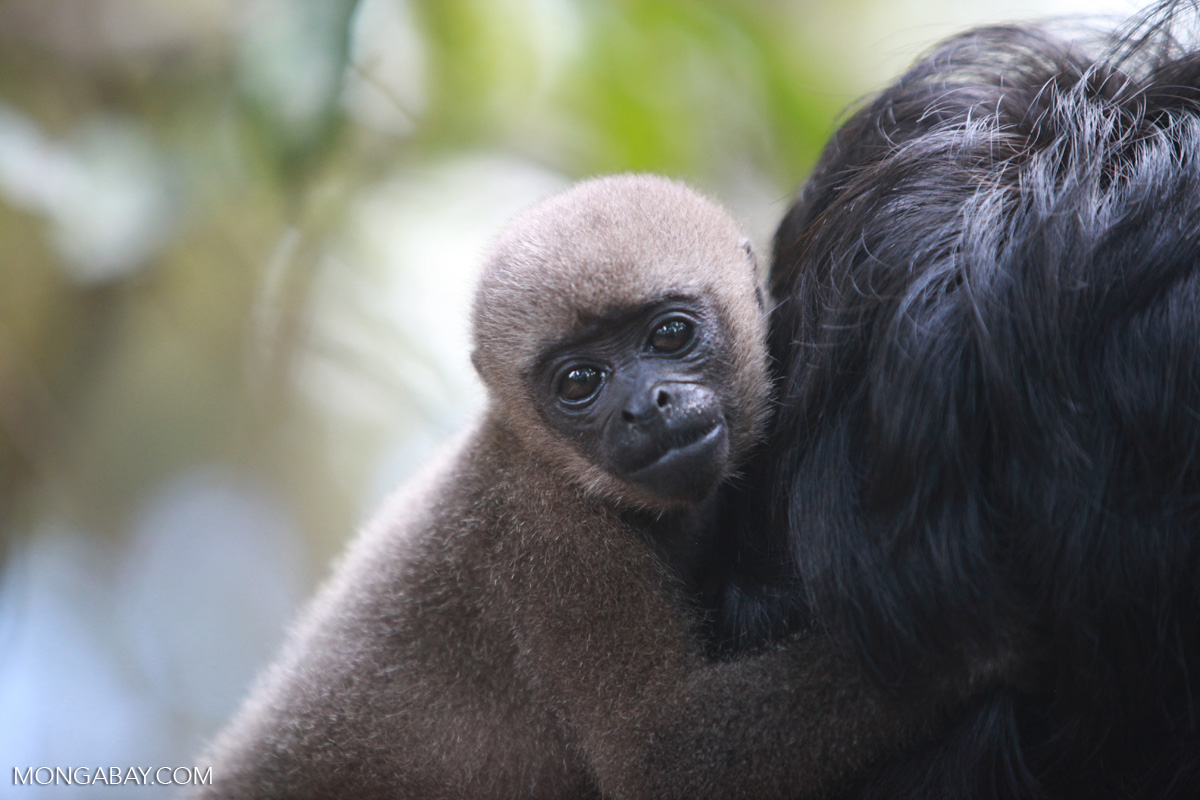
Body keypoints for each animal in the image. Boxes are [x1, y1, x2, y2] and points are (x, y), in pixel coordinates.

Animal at [194, 174, 952, 800]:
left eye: (670, 335)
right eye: (580, 381)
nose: (646, 406)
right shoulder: (550, 533)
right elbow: (663, 756)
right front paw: (968, 643)